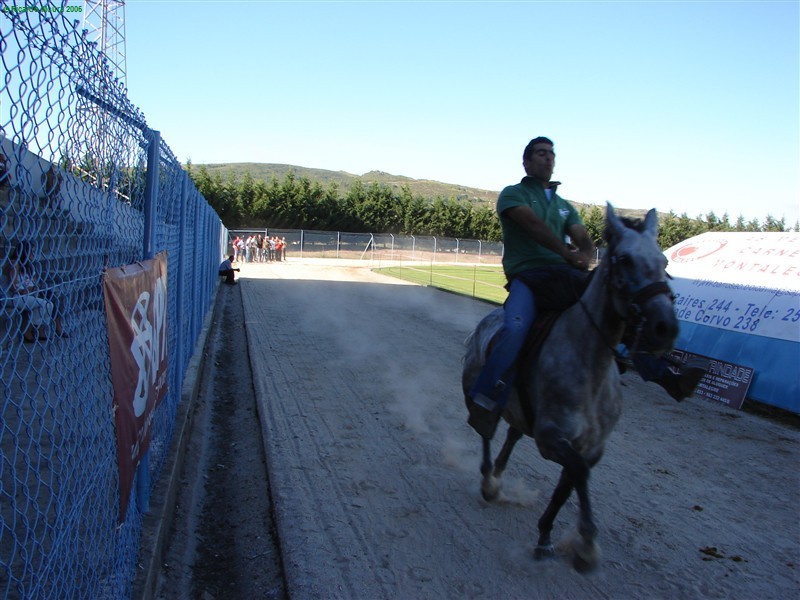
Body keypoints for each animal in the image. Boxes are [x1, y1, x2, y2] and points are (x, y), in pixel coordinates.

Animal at [460, 204, 680, 576]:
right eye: (625, 259)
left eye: (663, 260)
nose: (665, 328)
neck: (590, 369)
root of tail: (486, 324)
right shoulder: (552, 439)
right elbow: (576, 474)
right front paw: (586, 546)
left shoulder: (590, 447)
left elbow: (568, 485)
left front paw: (546, 537)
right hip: (481, 395)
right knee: (486, 430)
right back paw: (489, 482)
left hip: (520, 412)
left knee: (512, 435)